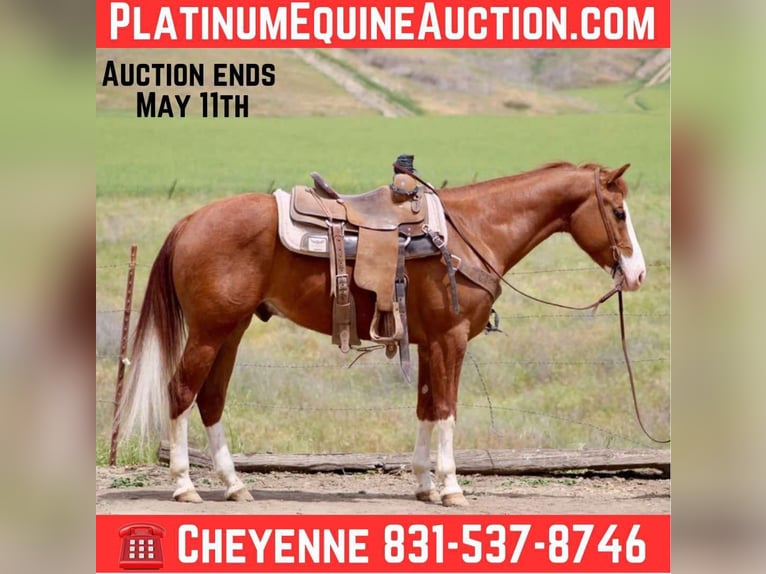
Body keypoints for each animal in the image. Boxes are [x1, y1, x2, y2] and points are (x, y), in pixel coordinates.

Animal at [116, 161, 646, 506]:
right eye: (619, 212)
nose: (637, 274)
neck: (471, 231)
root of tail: (189, 222)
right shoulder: (451, 339)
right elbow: (448, 411)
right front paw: (451, 488)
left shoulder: (429, 344)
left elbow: (426, 409)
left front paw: (424, 485)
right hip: (210, 331)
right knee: (181, 392)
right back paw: (185, 486)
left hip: (232, 330)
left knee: (211, 399)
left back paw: (234, 486)